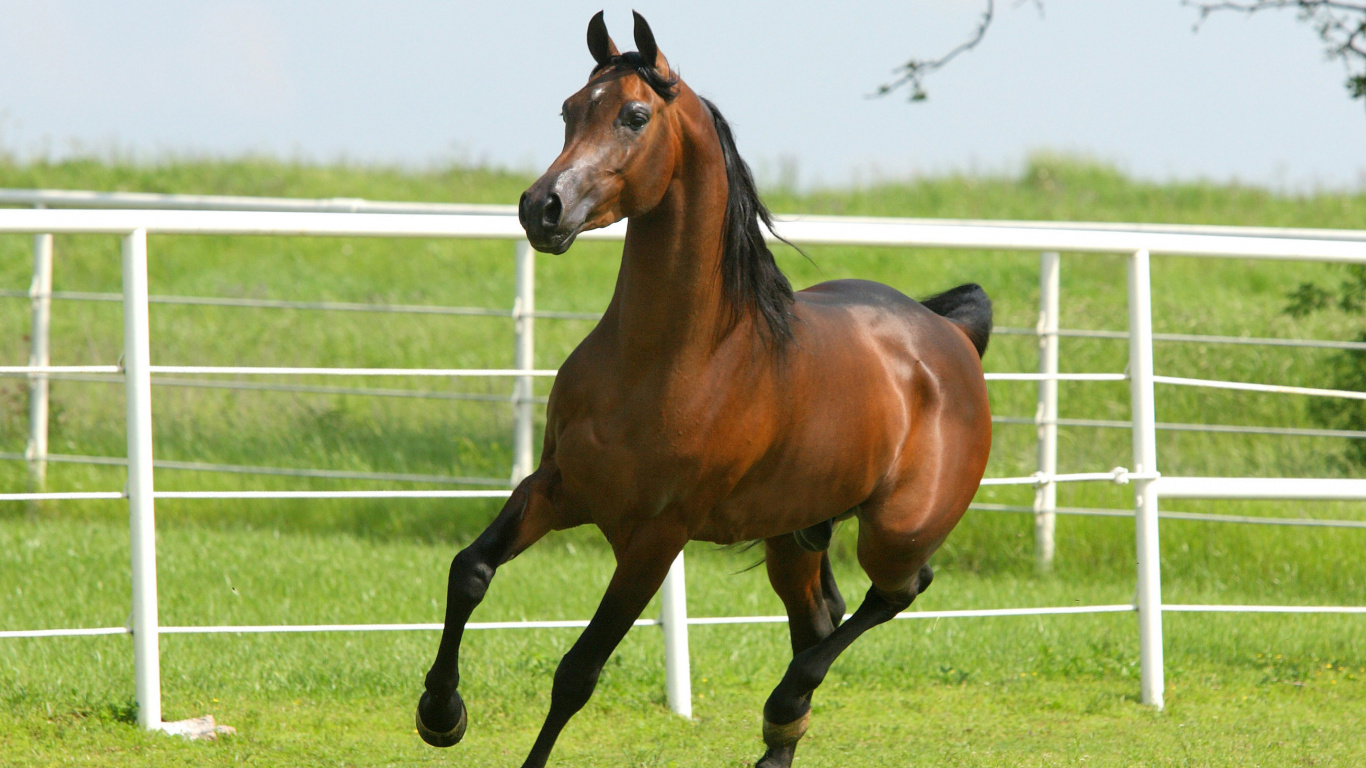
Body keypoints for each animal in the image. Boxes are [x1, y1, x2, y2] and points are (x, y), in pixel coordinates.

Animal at [416, 12, 993, 767]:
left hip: (897, 530)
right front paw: (440, 713)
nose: (542, 208)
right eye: (569, 109)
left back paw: (785, 703)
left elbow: (577, 673)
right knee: (821, 616)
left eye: (634, 115)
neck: (666, 361)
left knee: (898, 591)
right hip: (792, 534)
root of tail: (951, 335)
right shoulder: (558, 486)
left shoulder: (656, 537)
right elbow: (470, 571)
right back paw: (781, 734)